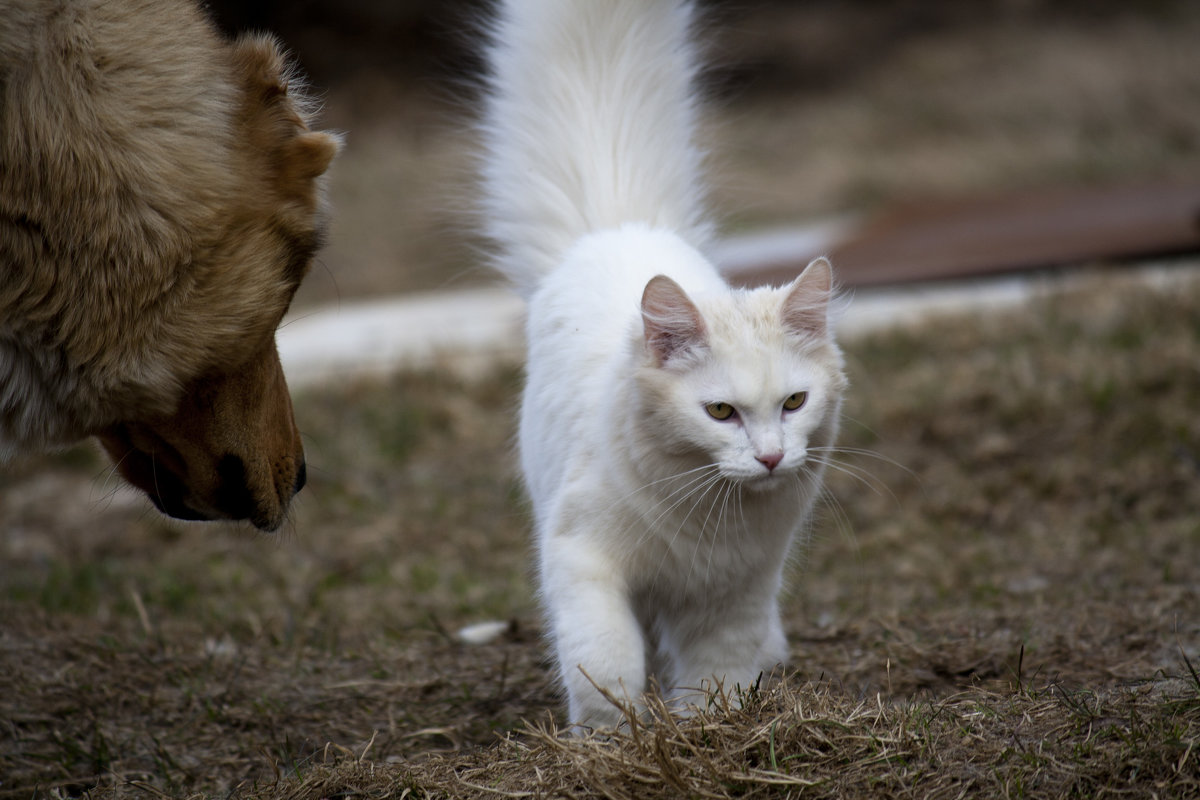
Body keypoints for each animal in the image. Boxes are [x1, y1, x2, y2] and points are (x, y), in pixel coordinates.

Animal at [477, 0, 844, 734]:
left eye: (794, 403)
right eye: (720, 411)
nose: (769, 458)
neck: (710, 520)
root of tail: (618, 229)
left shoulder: (736, 592)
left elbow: (718, 675)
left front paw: (709, 730)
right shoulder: (582, 559)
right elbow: (605, 662)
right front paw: (612, 739)